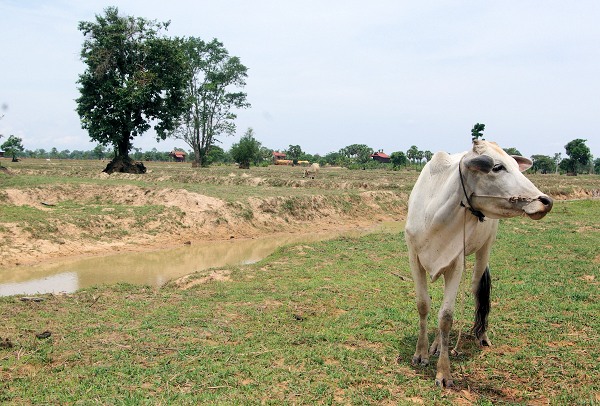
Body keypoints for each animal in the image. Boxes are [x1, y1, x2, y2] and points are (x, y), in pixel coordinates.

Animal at [404, 140, 552, 386]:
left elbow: (446, 316)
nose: (546, 201)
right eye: (498, 167)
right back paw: (436, 345)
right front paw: (420, 353)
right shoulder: (414, 257)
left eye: (515, 166)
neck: (434, 214)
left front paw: (443, 372)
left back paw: (478, 336)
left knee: (474, 288)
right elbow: (423, 305)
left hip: (485, 247)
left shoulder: (456, 262)